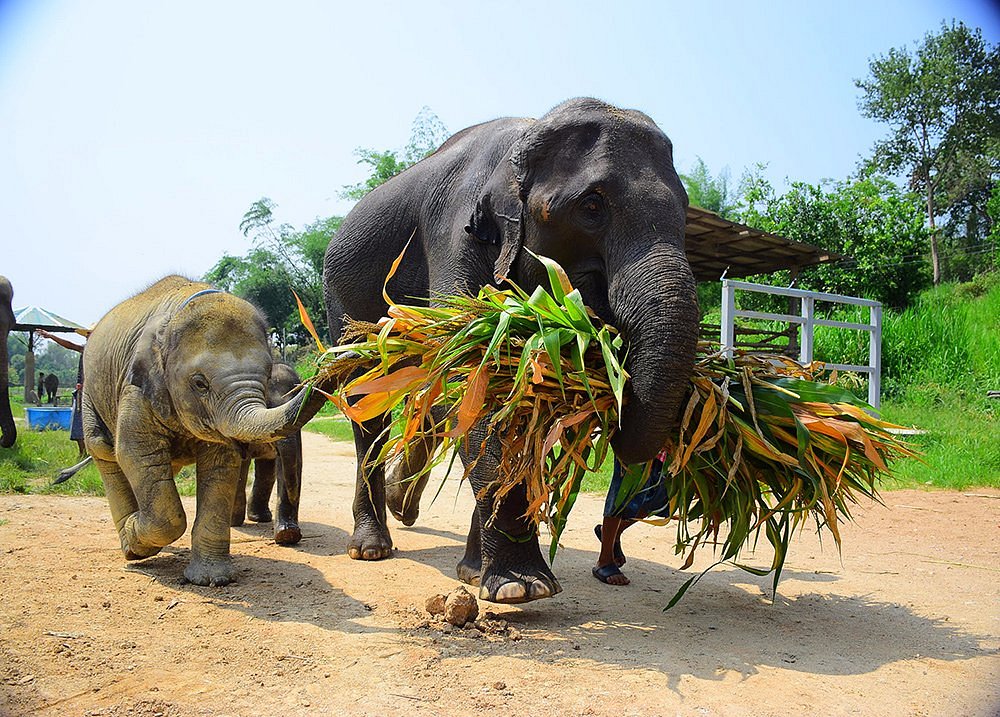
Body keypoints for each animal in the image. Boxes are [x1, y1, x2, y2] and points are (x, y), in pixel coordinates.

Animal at [231, 364, 302, 544]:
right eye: (266, 402)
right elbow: (239, 464)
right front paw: (233, 522)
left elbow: (290, 462)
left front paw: (288, 536)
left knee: (267, 470)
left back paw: (260, 518)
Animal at [324, 93, 700, 600]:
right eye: (592, 206)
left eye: (685, 209)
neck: (526, 139)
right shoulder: (454, 235)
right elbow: (472, 382)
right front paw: (522, 587)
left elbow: (512, 396)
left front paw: (476, 573)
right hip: (343, 306)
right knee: (368, 401)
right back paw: (371, 547)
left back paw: (407, 508)